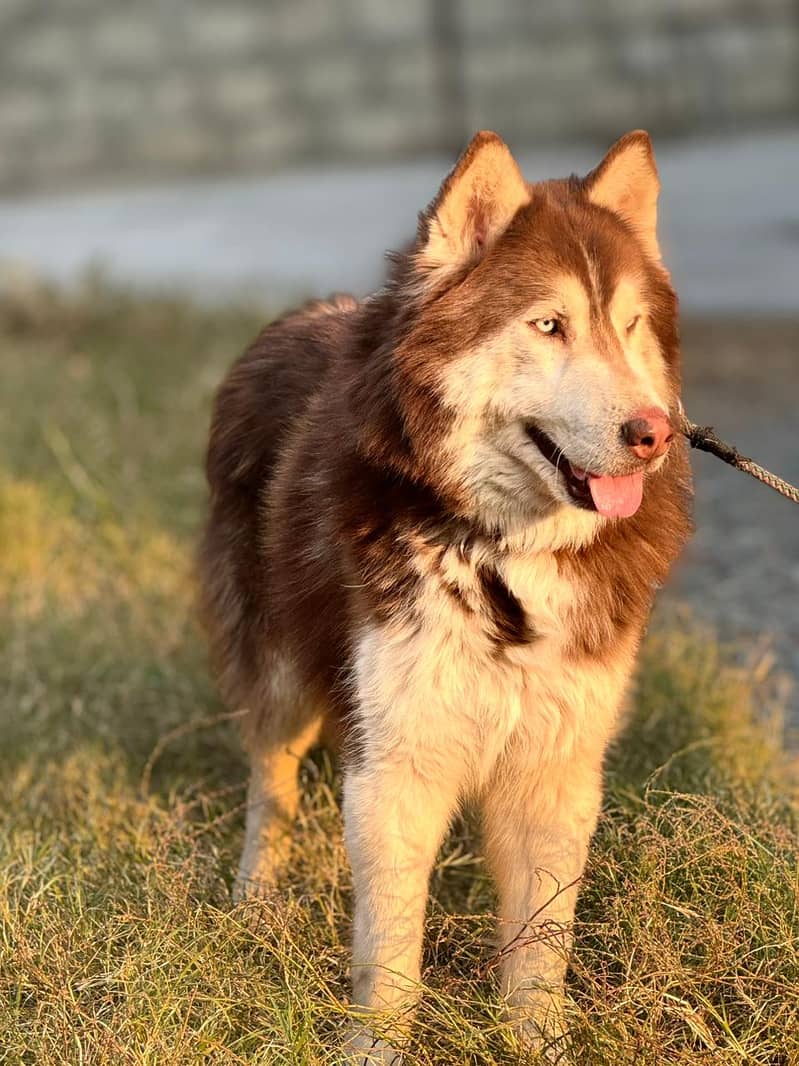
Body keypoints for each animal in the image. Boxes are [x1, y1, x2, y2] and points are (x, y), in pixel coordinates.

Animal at [200, 126, 694, 1057]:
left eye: (630, 326)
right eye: (549, 325)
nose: (651, 434)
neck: (503, 553)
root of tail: (298, 314)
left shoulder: (555, 770)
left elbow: (539, 945)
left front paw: (536, 1044)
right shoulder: (395, 762)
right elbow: (390, 946)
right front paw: (375, 1049)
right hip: (279, 666)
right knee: (269, 781)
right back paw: (255, 903)